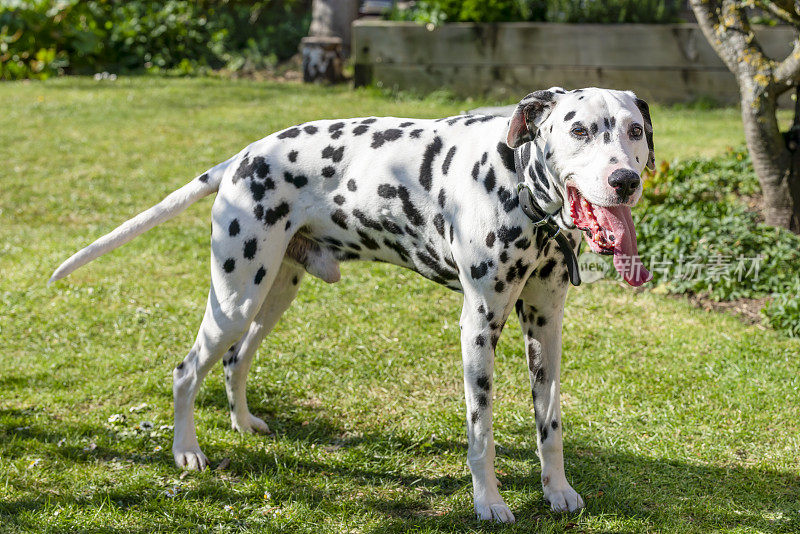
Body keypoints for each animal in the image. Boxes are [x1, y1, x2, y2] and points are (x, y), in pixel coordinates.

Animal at [54, 87, 656, 524]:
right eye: (579, 131)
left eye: (634, 130)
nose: (624, 179)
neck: (517, 186)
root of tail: (244, 156)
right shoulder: (480, 325)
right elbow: (481, 430)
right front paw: (489, 502)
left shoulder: (546, 326)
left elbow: (550, 424)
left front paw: (557, 490)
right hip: (235, 296)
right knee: (186, 370)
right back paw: (187, 451)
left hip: (272, 295)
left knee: (235, 360)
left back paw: (243, 423)